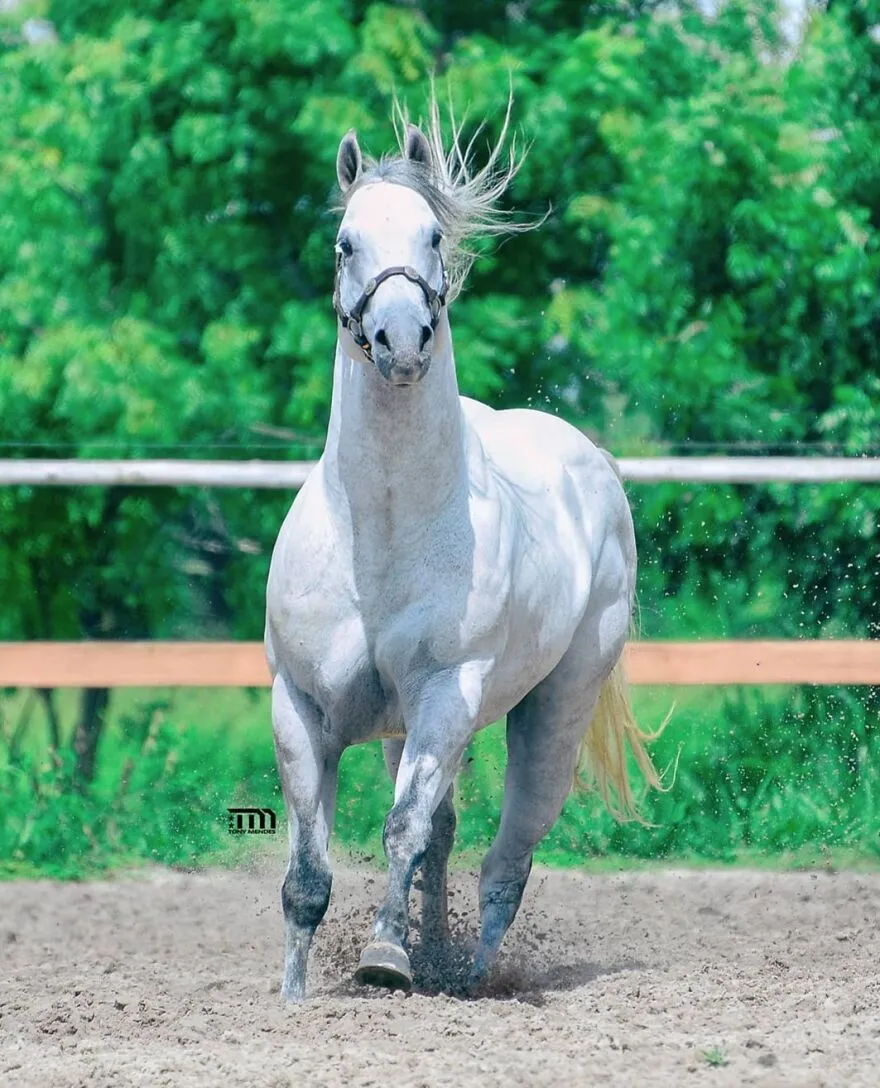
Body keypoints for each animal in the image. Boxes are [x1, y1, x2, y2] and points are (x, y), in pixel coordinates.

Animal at [264, 95, 662, 1002]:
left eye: (433, 237)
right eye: (346, 243)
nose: (401, 339)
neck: (378, 535)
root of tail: (592, 464)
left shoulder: (446, 695)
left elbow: (402, 831)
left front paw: (383, 958)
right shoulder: (301, 707)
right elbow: (309, 869)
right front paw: (296, 993)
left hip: (550, 713)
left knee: (506, 859)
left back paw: (471, 975)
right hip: (401, 731)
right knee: (449, 838)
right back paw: (440, 959)